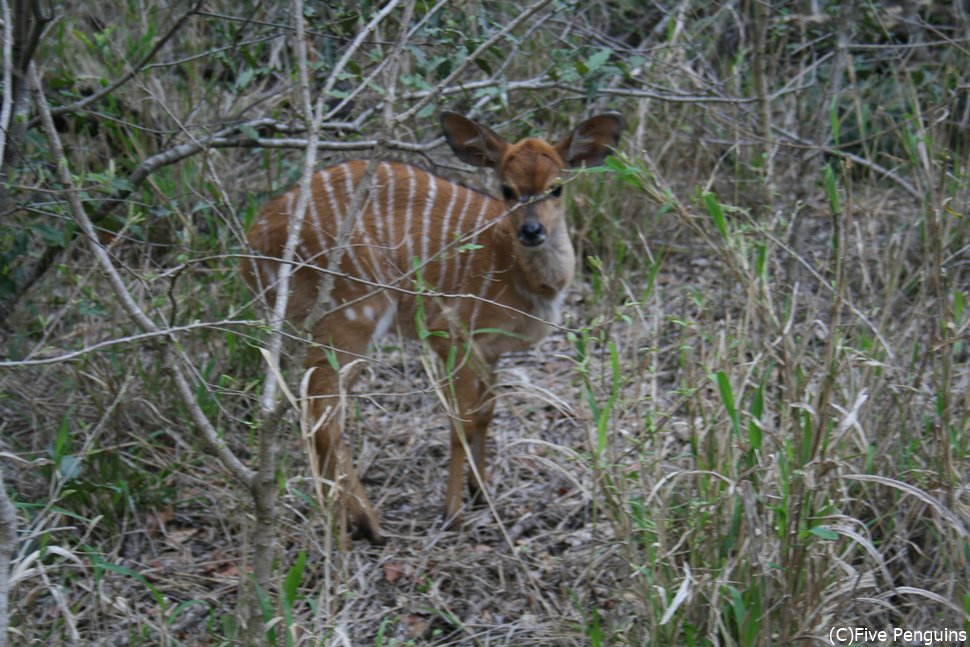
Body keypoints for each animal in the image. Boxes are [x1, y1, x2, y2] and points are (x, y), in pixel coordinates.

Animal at [242, 109, 620, 544]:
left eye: (556, 188)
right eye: (507, 189)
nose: (531, 231)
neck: (521, 277)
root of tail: (253, 244)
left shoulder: (491, 349)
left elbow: (487, 413)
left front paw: (482, 491)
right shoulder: (451, 334)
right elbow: (460, 421)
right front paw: (453, 514)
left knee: (309, 406)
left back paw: (345, 519)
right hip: (352, 316)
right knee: (323, 411)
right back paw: (366, 525)